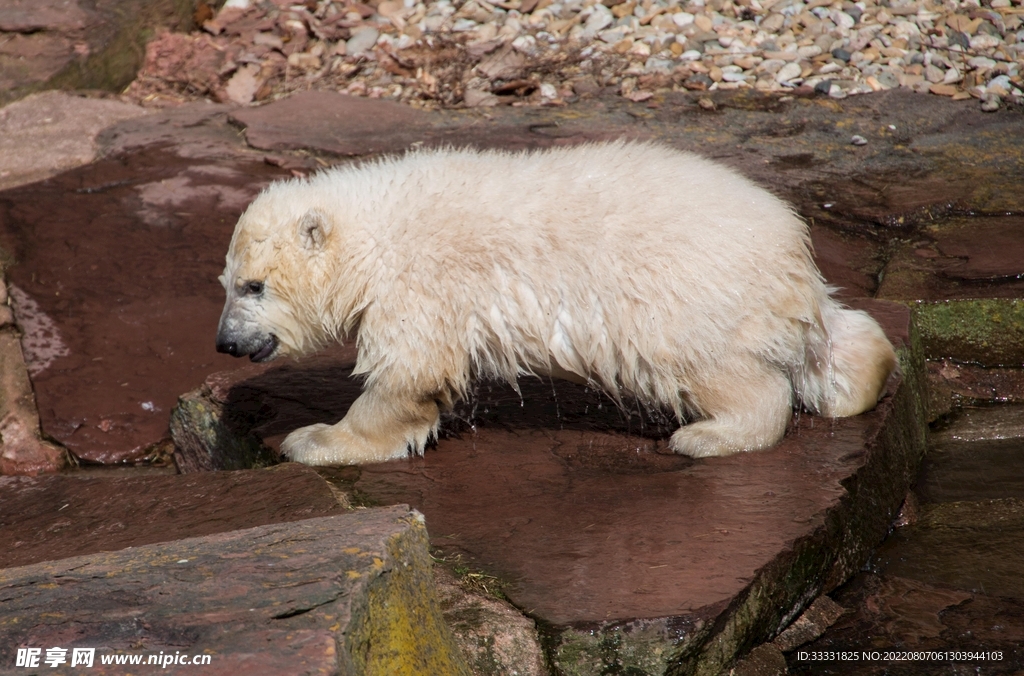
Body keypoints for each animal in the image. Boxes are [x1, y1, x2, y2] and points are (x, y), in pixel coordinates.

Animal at [218, 141, 897, 469]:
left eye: (255, 286)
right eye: (227, 282)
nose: (225, 342)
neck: (376, 230)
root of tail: (791, 250)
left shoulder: (422, 283)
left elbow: (409, 373)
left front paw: (314, 439)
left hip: (686, 298)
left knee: (724, 373)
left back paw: (705, 437)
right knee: (833, 339)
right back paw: (861, 380)